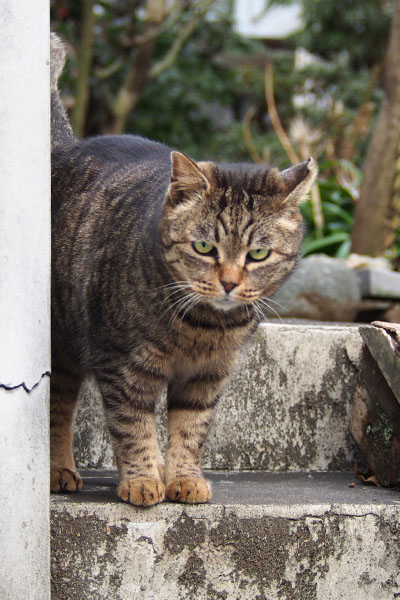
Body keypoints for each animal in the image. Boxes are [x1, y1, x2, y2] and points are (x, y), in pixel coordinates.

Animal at [50, 34, 318, 506]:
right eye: (204, 247)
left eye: (258, 254)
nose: (228, 283)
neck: (204, 327)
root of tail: (69, 146)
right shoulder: (123, 366)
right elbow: (133, 426)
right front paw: (141, 480)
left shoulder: (206, 376)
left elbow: (190, 429)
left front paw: (183, 477)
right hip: (63, 341)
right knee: (58, 406)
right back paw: (60, 469)